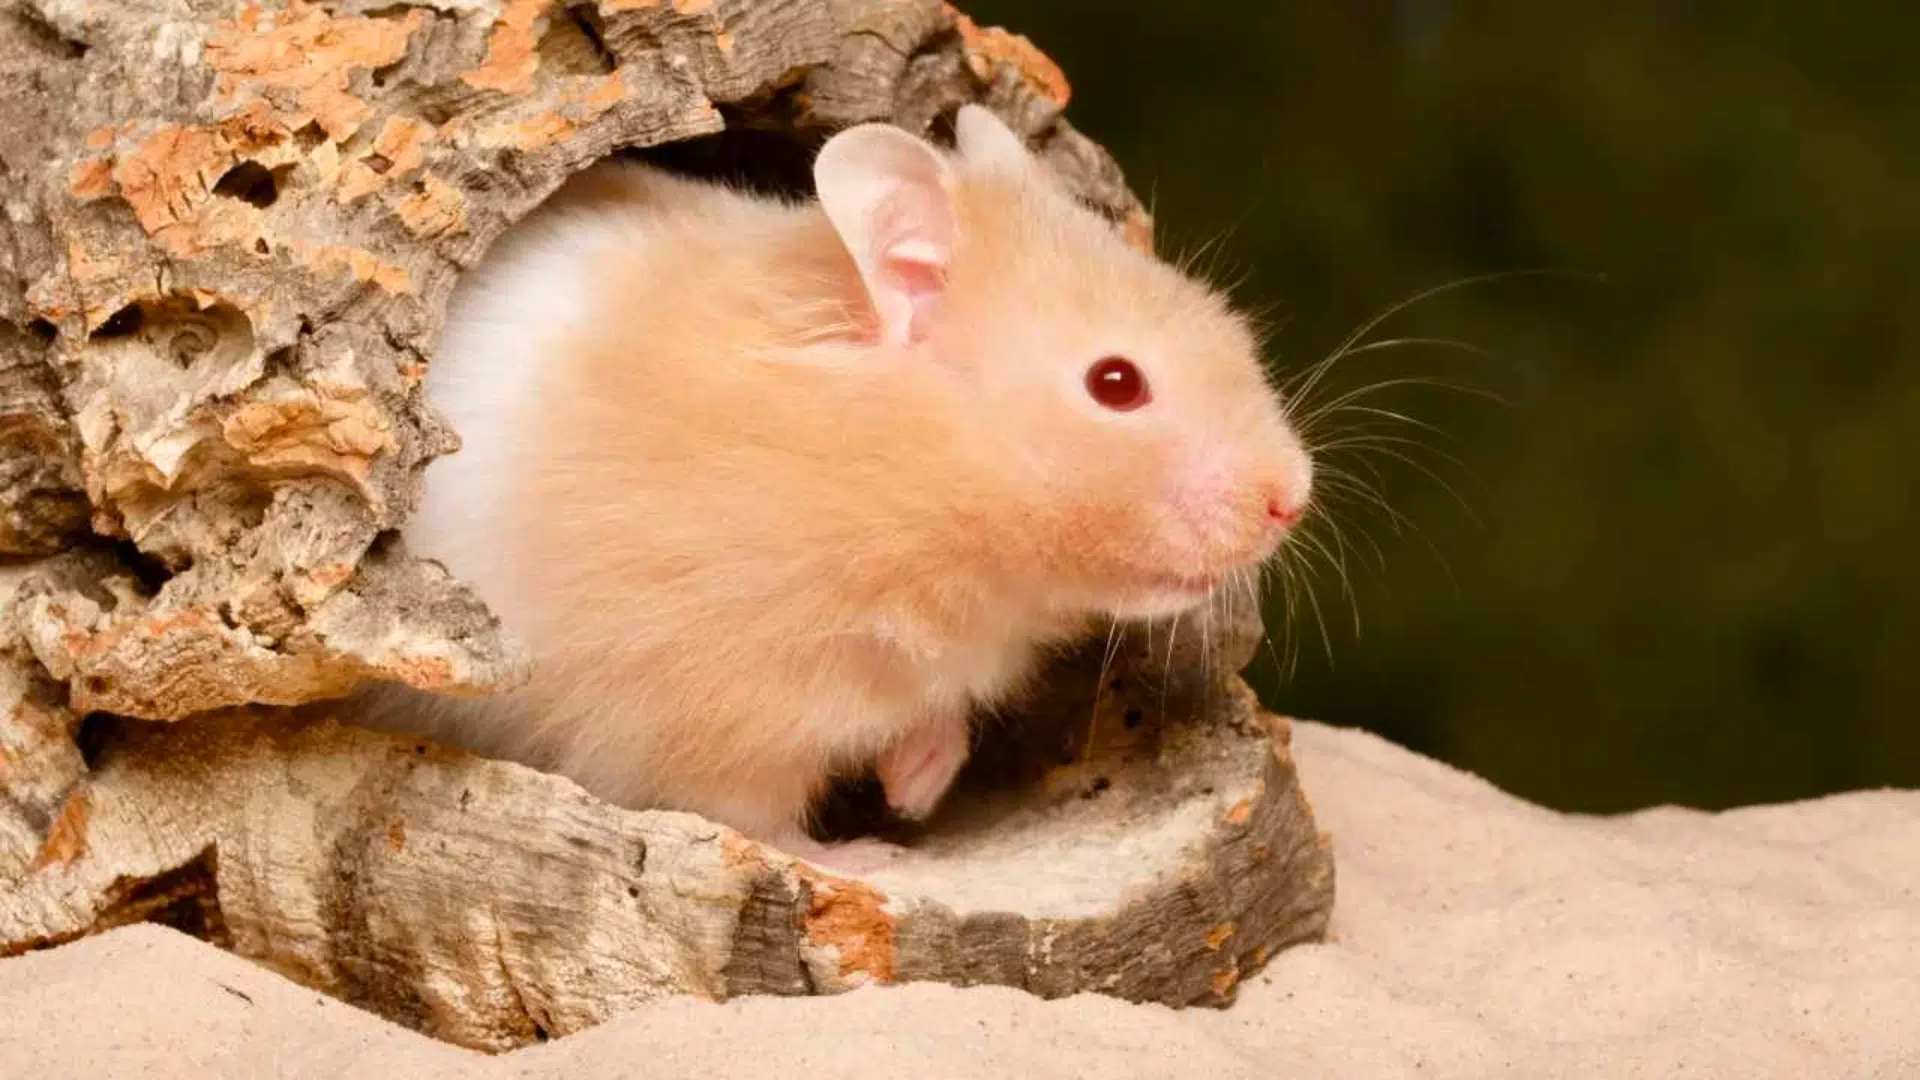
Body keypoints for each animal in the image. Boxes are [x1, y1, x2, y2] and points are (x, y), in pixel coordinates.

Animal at [358, 106, 1314, 872]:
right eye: (1116, 384)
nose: (1292, 499)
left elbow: (936, 722)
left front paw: (915, 790)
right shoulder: (705, 708)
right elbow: (755, 820)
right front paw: (872, 856)